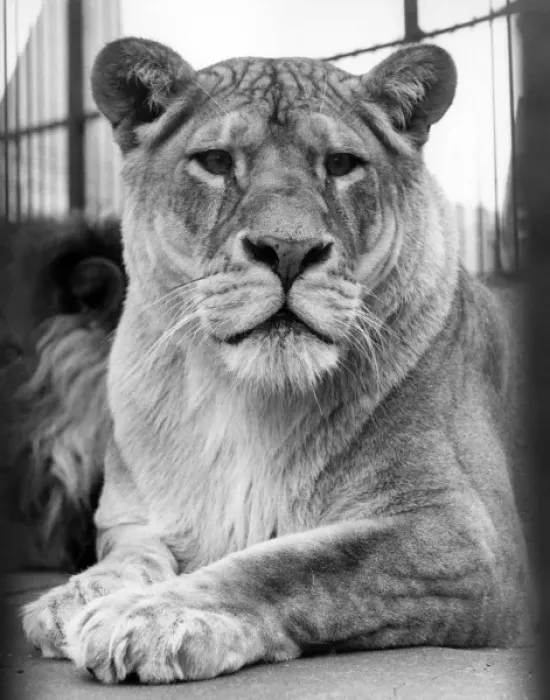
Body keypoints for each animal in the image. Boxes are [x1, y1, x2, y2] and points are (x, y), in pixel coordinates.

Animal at [22, 38, 531, 684]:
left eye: (340, 164)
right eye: (216, 161)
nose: (288, 251)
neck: (243, 397)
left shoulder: (466, 536)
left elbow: (295, 565)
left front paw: (154, 615)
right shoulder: (130, 520)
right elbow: (130, 557)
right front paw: (75, 597)